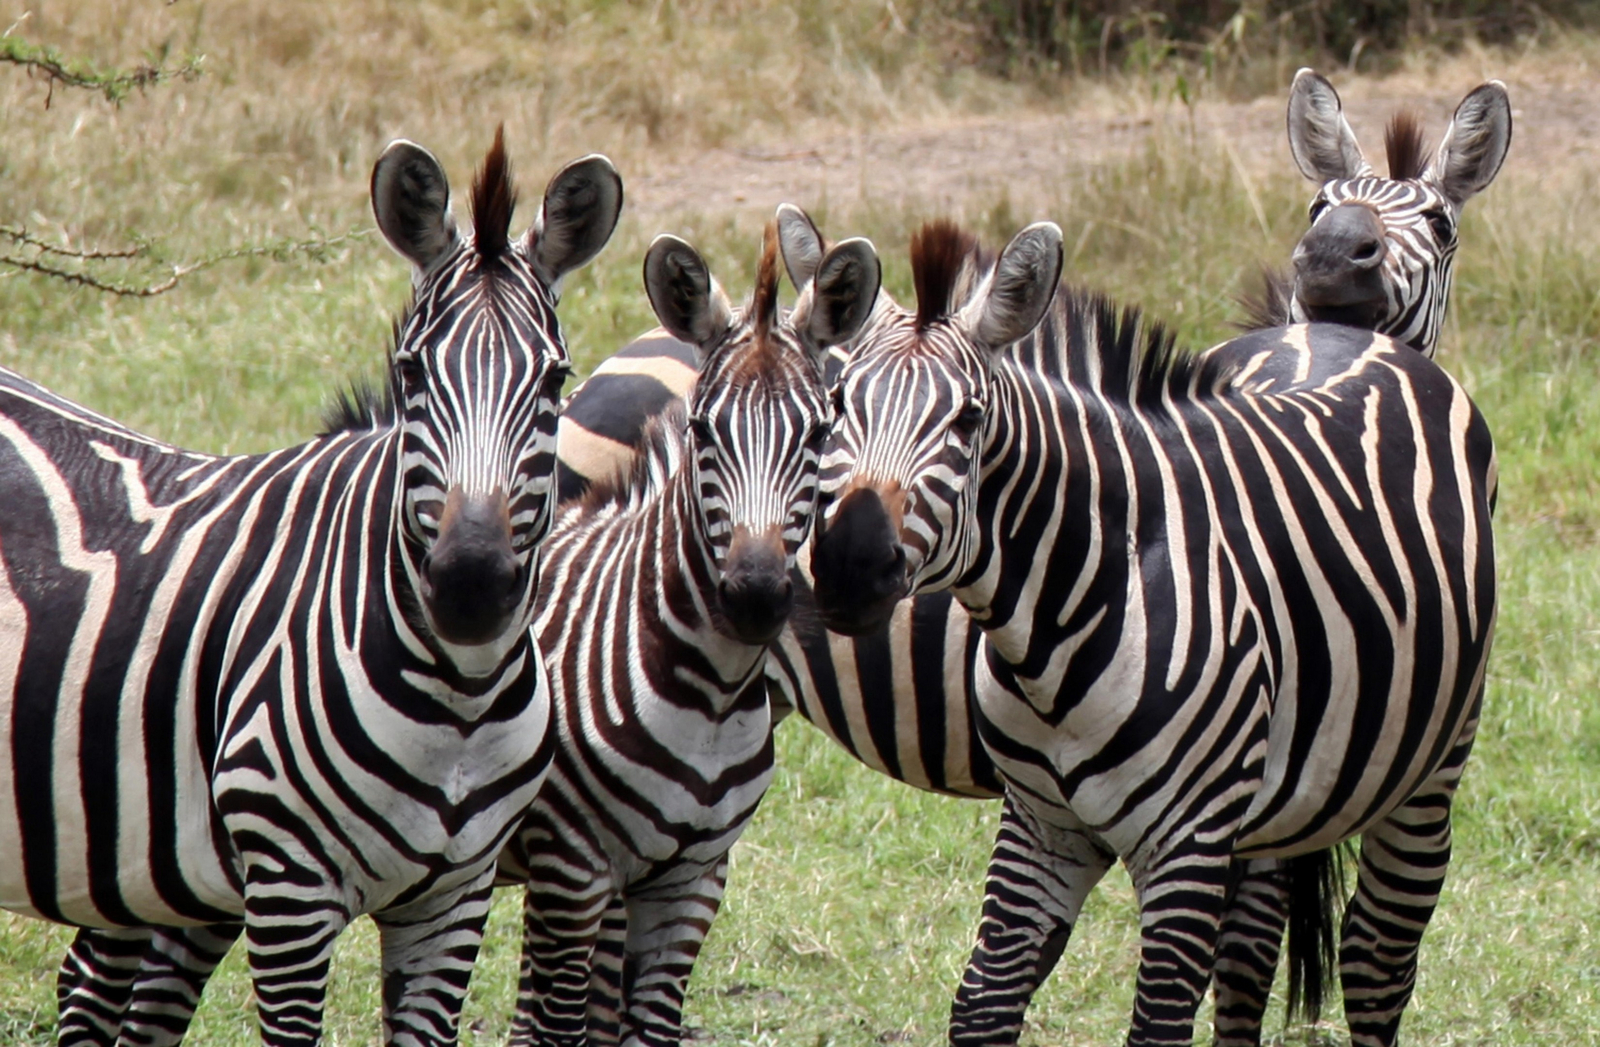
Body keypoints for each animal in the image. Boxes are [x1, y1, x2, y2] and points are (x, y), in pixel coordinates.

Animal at [10, 128, 623, 1047]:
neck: (463, 697)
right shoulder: (290, 885)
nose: (471, 585)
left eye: (555, 381)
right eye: (411, 373)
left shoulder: (454, 896)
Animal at [500, 222, 879, 1047]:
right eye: (704, 429)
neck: (712, 693)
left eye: (820, 432)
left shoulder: (693, 878)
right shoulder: (572, 867)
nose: (757, 595)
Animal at [806, 218, 1496, 1046]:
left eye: (968, 420)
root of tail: (1347, 332)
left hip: (1428, 771)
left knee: (1376, 960)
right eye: (836, 405)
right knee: (1248, 956)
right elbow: (983, 1005)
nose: (847, 566)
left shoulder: (1185, 843)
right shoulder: (1041, 821)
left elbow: (1158, 1024)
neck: (1059, 619)